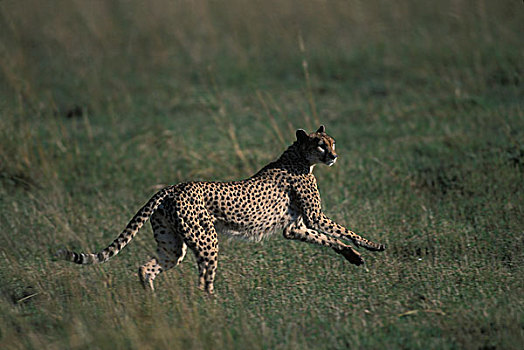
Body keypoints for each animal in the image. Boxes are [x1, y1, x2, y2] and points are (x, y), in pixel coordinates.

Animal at [56, 124, 384, 294]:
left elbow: (329, 239)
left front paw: (353, 257)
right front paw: (373, 246)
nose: (334, 156)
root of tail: (171, 187)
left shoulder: (295, 227)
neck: (299, 156)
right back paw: (216, 308)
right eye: (320, 145)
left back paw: (150, 301)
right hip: (206, 239)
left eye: (332, 142)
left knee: (147, 266)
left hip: (172, 244)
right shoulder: (314, 217)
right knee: (203, 279)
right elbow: (344, 231)